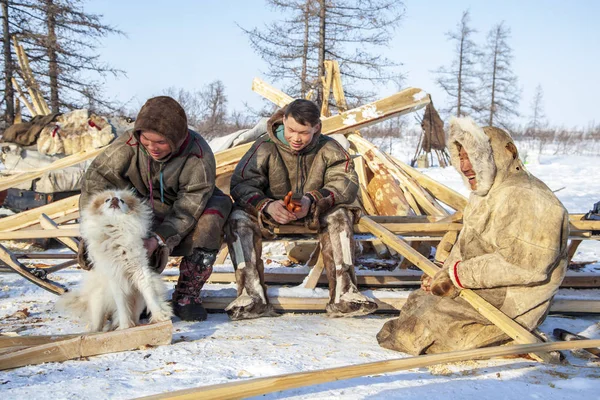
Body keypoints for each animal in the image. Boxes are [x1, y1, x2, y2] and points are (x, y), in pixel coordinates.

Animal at [56, 191, 172, 332]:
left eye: (122, 200)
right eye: (107, 200)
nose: (115, 199)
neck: (116, 229)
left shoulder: (139, 271)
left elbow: (149, 294)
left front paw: (159, 315)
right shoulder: (115, 277)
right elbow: (121, 305)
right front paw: (124, 326)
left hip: (137, 301)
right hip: (98, 302)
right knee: (98, 323)